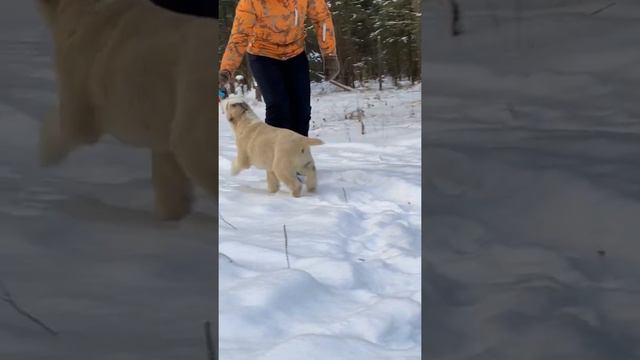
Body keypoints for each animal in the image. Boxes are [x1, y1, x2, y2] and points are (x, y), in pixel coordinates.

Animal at [37, 0, 218, 219]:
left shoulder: (79, 71)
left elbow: (72, 127)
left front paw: (43, 158)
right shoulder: (162, 115)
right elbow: (168, 175)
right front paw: (172, 218)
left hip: (194, 97)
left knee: (196, 151)